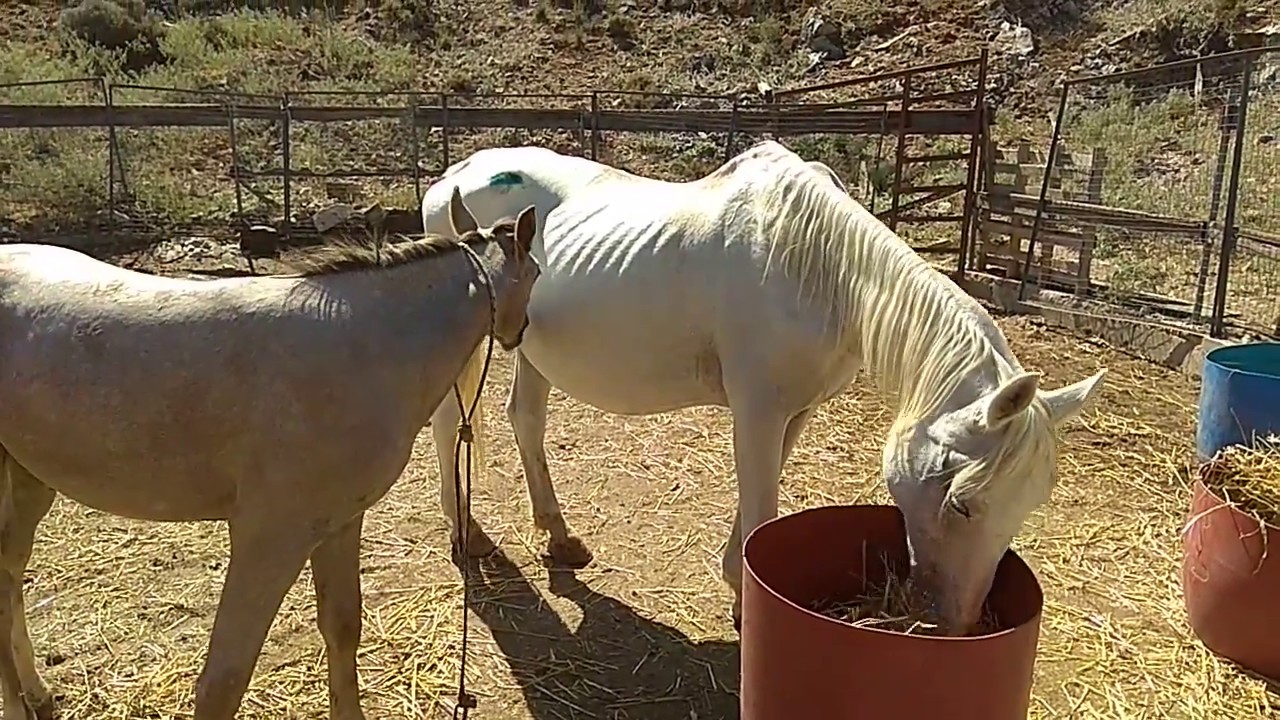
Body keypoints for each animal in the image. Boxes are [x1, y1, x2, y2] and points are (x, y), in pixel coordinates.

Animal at [0, 189, 539, 720]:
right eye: (535, 271)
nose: (520, 331)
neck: (364, 349)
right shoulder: (269, 538)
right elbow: (222, 683)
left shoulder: (339, 524)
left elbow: (342, 626)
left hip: (29, 481)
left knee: (9, 581)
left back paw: (38, 696)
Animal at [421, 141, 1107, 634]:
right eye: (964, 505)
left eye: (1031, 506)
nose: (959, 624)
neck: (821, 267)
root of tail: (454, 175)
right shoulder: (756, 410)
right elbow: (761, 504)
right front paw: (747, 605)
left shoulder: (793, 412)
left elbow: (763, 498)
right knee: (451, 424)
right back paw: (466, 533)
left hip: (532, 351)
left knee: (525, 419)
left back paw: (559, 537)